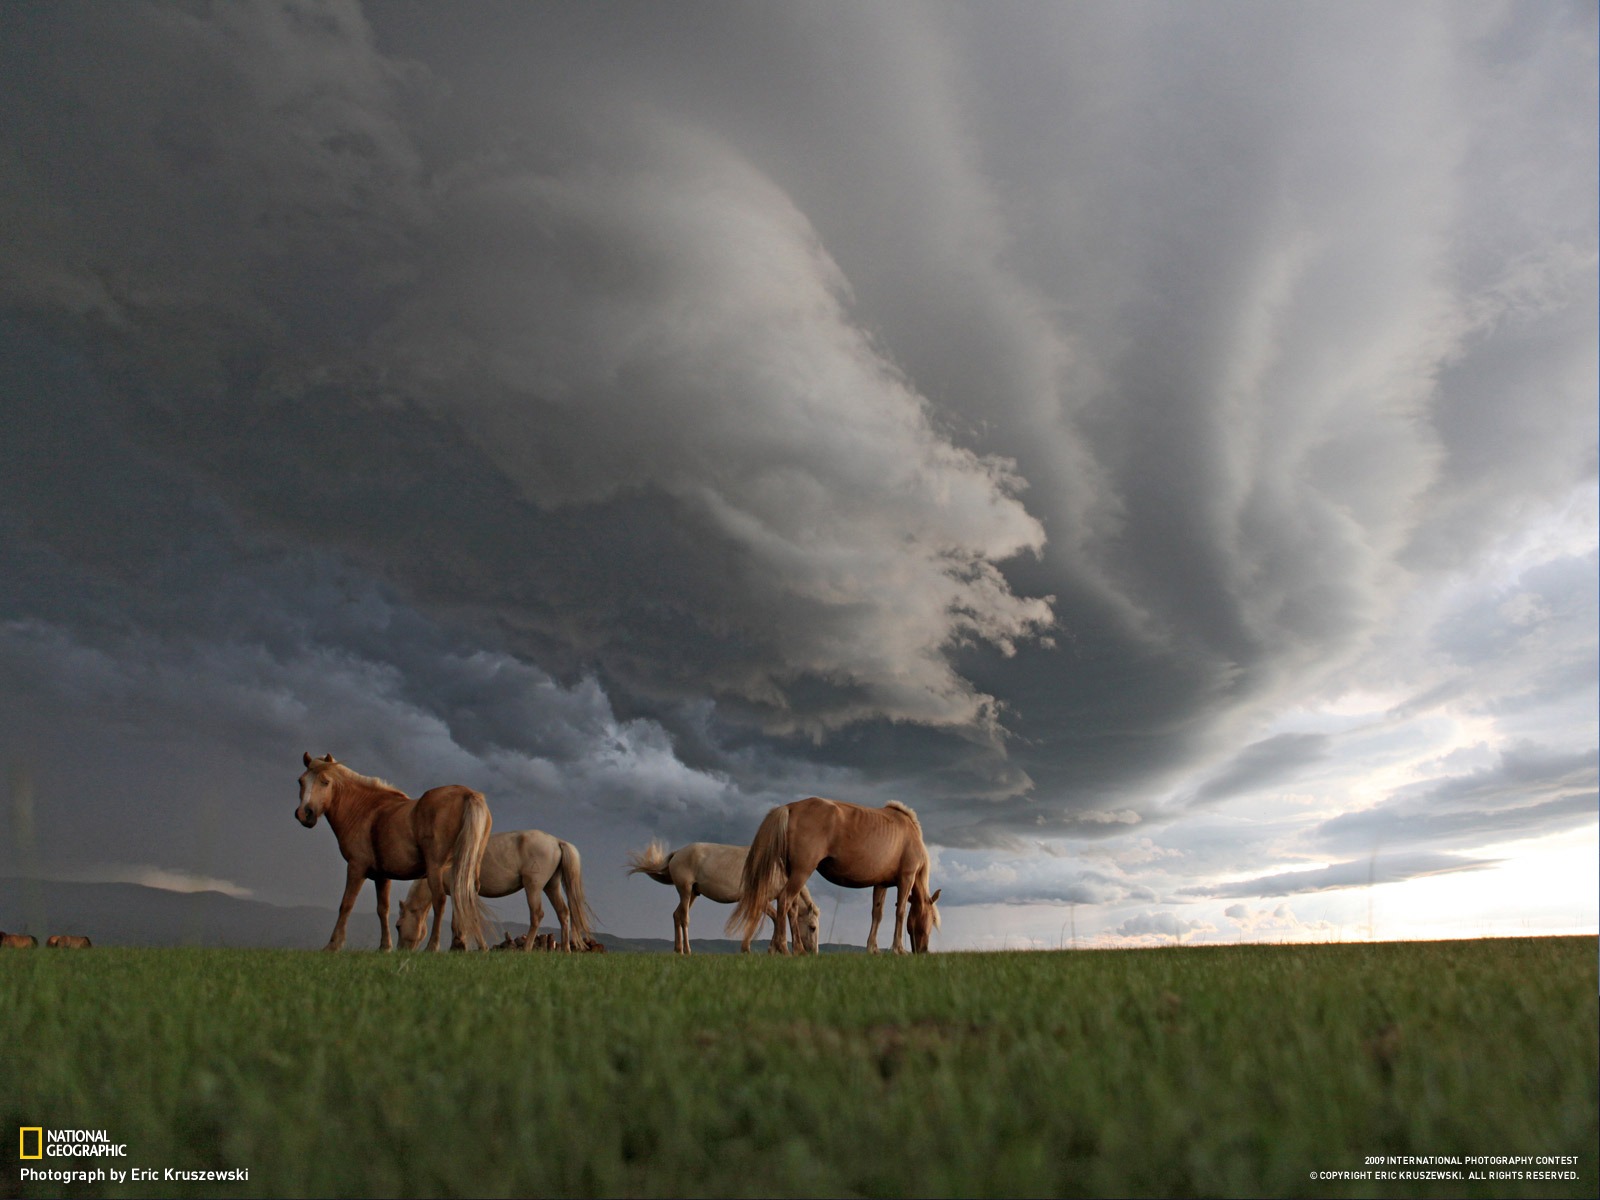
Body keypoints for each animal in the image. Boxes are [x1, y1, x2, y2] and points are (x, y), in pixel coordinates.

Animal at [296, 752, 489, 960]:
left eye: (325, 781)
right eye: (301, 781)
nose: (305, 814)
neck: (365, 810)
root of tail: (468, 794)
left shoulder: (356, 867)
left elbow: (346, 904)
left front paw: (334, 944)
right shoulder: (382, 876)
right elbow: (383, 909)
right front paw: (384, 946)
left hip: (436, 869)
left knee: (440, 900)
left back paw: (433, 946)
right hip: (464, 868)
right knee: (466, 897)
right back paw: (472, 946)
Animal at [396, 832, 598, 953]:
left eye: (397, 925)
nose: (400, 950)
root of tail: (556, 842)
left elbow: (467, 920)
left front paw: (475, 947)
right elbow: (457, 921)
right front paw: (457, 946)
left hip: (533, 887)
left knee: (537, 915)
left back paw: (526, 949)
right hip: (551, 886)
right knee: (563, 913)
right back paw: (566, 950)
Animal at [627, 844, 825, 960]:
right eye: (813, 927)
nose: (814, 953)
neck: (776, 869)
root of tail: (678, 853)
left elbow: (771, 919)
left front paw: (768, 949)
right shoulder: (760, 900)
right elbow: (771, 919)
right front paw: (756, 948)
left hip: (692, 894)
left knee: (676, 915)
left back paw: (678, 949)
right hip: (685, 891)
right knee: (684, 918)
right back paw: (687, 950)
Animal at [726, 800, 934, 960]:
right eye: (931, 921)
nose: (923, 951)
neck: (910, 833)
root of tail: (790, 807)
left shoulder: (880, 883)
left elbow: (877, 914)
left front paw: (873, 948)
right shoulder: (906, 878)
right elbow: (900, 912)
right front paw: (899, 949)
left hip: (792, 872)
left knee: (792, 907)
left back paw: (797, 949)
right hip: (802, 871)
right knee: (784, 899)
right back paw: (783, 947)